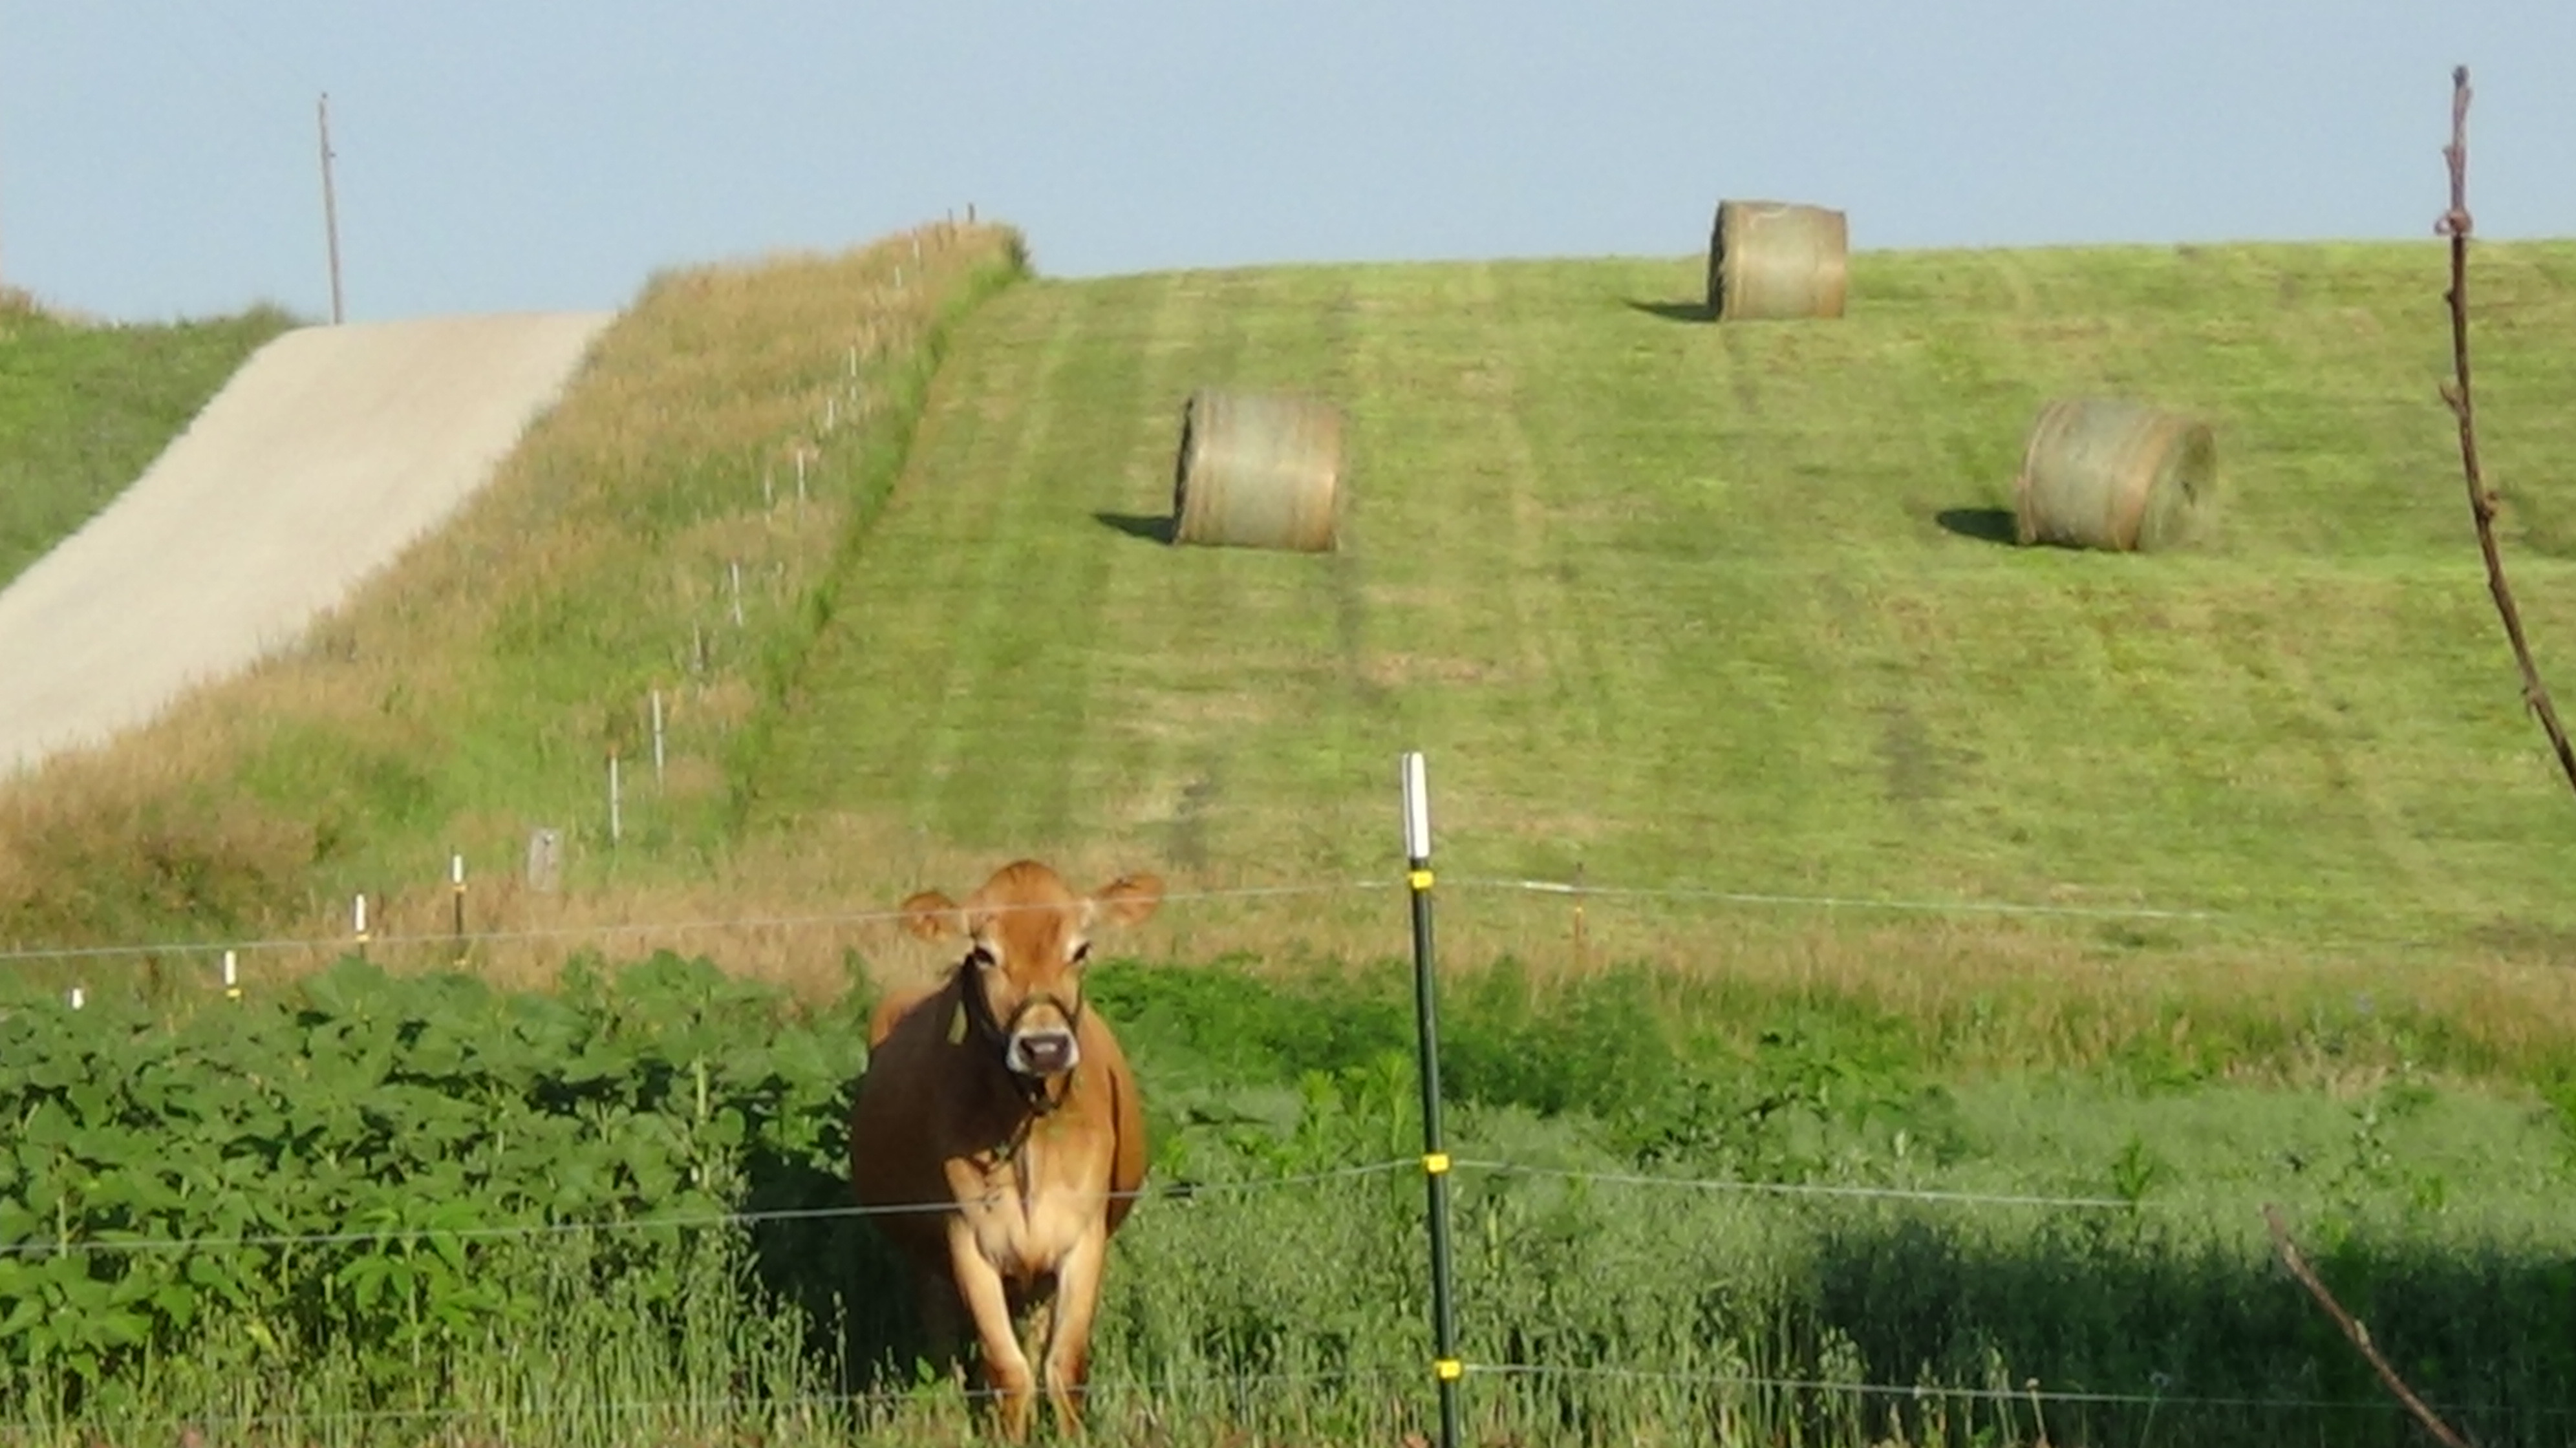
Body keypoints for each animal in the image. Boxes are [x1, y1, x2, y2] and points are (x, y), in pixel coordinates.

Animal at [847, 859, 1162, 1441]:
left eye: (1081, 949)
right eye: (984, 954)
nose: (1045, 1047)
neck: (1028, 1139)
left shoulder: (1082, 1237)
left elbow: (1064, 1363)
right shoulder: (969, 1240)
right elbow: (1006, 1368)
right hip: (927, 1256)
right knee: (942, 1334)